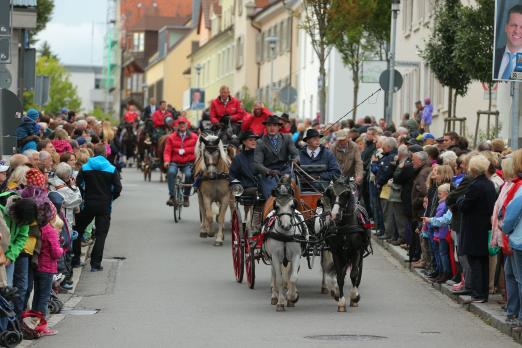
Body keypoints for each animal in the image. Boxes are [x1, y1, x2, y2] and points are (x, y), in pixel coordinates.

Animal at [262, 177, 306, 312]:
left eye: (292, 205)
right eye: (276, 206)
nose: (286, 225)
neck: (285, 235)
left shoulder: (296, 255)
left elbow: (293, 277)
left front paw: (292, 297)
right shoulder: (275, 256)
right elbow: (279, 280)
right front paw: (281, 302)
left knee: (289, 272)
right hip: (271, 257)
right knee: (274, 274)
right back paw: (274, 296)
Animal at [316, 177, 370, 312]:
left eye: (346, 194)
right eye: (331, 193)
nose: (334, 215)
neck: (345, 226)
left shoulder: (357, 250)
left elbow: (354, 274)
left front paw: (355, 297)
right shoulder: (336, 252)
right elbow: (340, 276)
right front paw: (341, 302)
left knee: (355, 273)